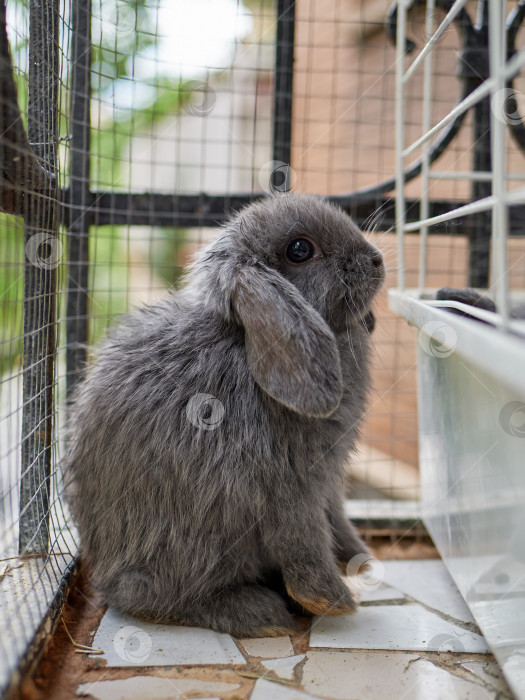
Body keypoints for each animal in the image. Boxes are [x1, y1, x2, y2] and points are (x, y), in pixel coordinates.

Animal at [65, 194, 384, 636]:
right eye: (299, 250)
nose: (377, 260)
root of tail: (109, 575)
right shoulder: (290, 488)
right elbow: (306, 543)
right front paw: (335, 602)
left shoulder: (329, 486)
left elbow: (337, 521)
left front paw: (360, 560)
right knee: (166, 597)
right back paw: (262, 613)